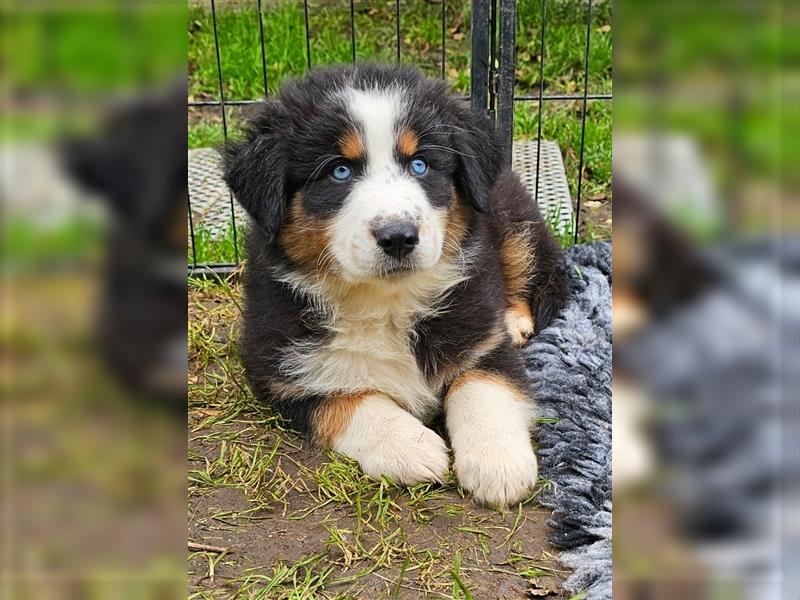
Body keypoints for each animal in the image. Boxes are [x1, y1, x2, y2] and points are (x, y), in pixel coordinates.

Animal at [222, 64, 564, 506]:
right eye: (339, 171)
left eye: (419, 165)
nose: (399, 237)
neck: (385, 303)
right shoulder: (278, 367)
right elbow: (351, 398)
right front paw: (410, 447)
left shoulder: (482, 338)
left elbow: (482, 385)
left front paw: (498, 462)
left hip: (511, 221)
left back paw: (516, 320)